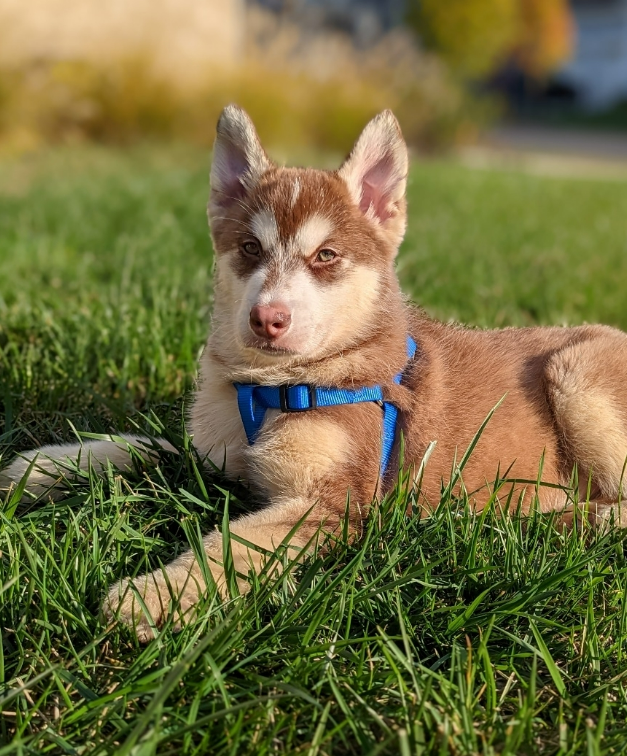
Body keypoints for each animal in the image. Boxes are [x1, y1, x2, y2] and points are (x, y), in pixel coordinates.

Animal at [3, 103, 627, 640]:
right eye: (250, 248)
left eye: (325, 256)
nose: (266, 319)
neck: (275, 388)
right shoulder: (217, 456)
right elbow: (146, 447)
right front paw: (42, 467)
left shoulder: (333, 501)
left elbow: (232, 544)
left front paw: (150, 596)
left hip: (575, 374)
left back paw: (557, 523)